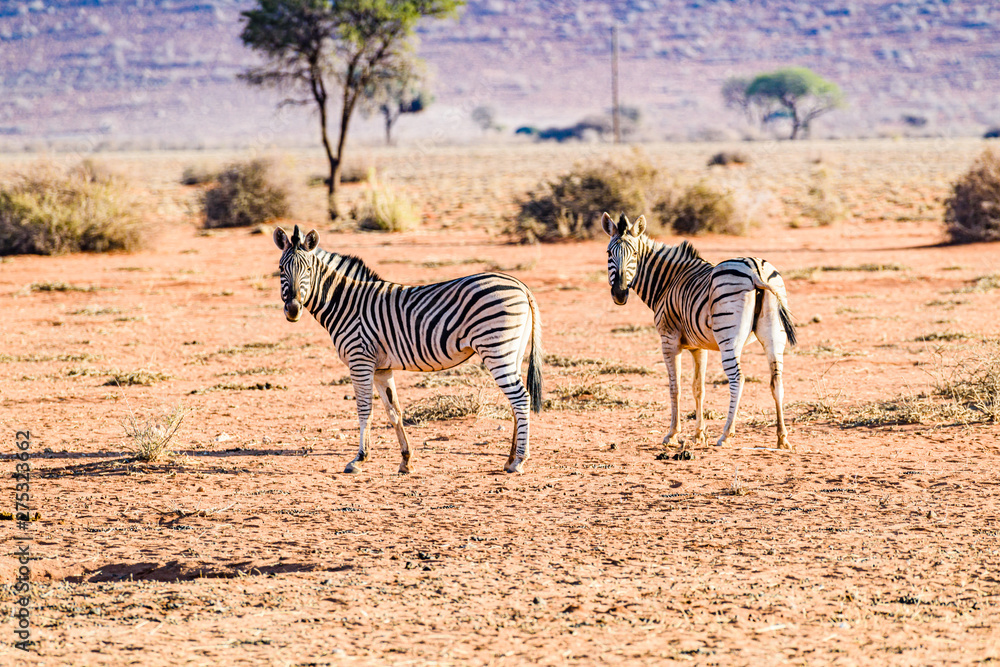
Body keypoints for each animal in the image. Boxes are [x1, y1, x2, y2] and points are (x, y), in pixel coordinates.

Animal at [274, 225, 543, 474]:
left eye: (309, 270)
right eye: (281, 269)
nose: (293, 310)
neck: (346, 303)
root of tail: (520, 285)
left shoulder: (360, 360)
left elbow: (365, 410)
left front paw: (359, 459)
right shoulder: (381, 369)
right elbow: (394, 411)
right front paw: (406, 460)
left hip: (496, 349)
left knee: (521, 398)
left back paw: (519, 460)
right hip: (512, 352)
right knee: (516, 402)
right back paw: (509, 459)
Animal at [602, 212, 796, 450]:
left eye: (635, 254)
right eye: (609, 253)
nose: (620, 294)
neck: (668, 283)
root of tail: (756, 270)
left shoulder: (669, 339)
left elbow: (674, 387)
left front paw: (672, 434)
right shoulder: (698, 346)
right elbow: (698, 388)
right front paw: (699, 435)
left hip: (728, 339)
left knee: (738, 379)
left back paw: (726, 435)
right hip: (774, 336)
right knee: (776, 381)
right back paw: (782, 438)